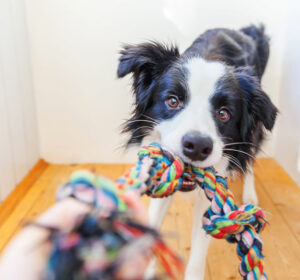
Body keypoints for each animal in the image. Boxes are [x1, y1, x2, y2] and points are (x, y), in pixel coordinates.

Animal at [116, 25, 276, 278]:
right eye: (172, 101)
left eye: (224, 113)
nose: (197, 147)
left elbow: (199, 251)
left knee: (250, 158)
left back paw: (250, 193)